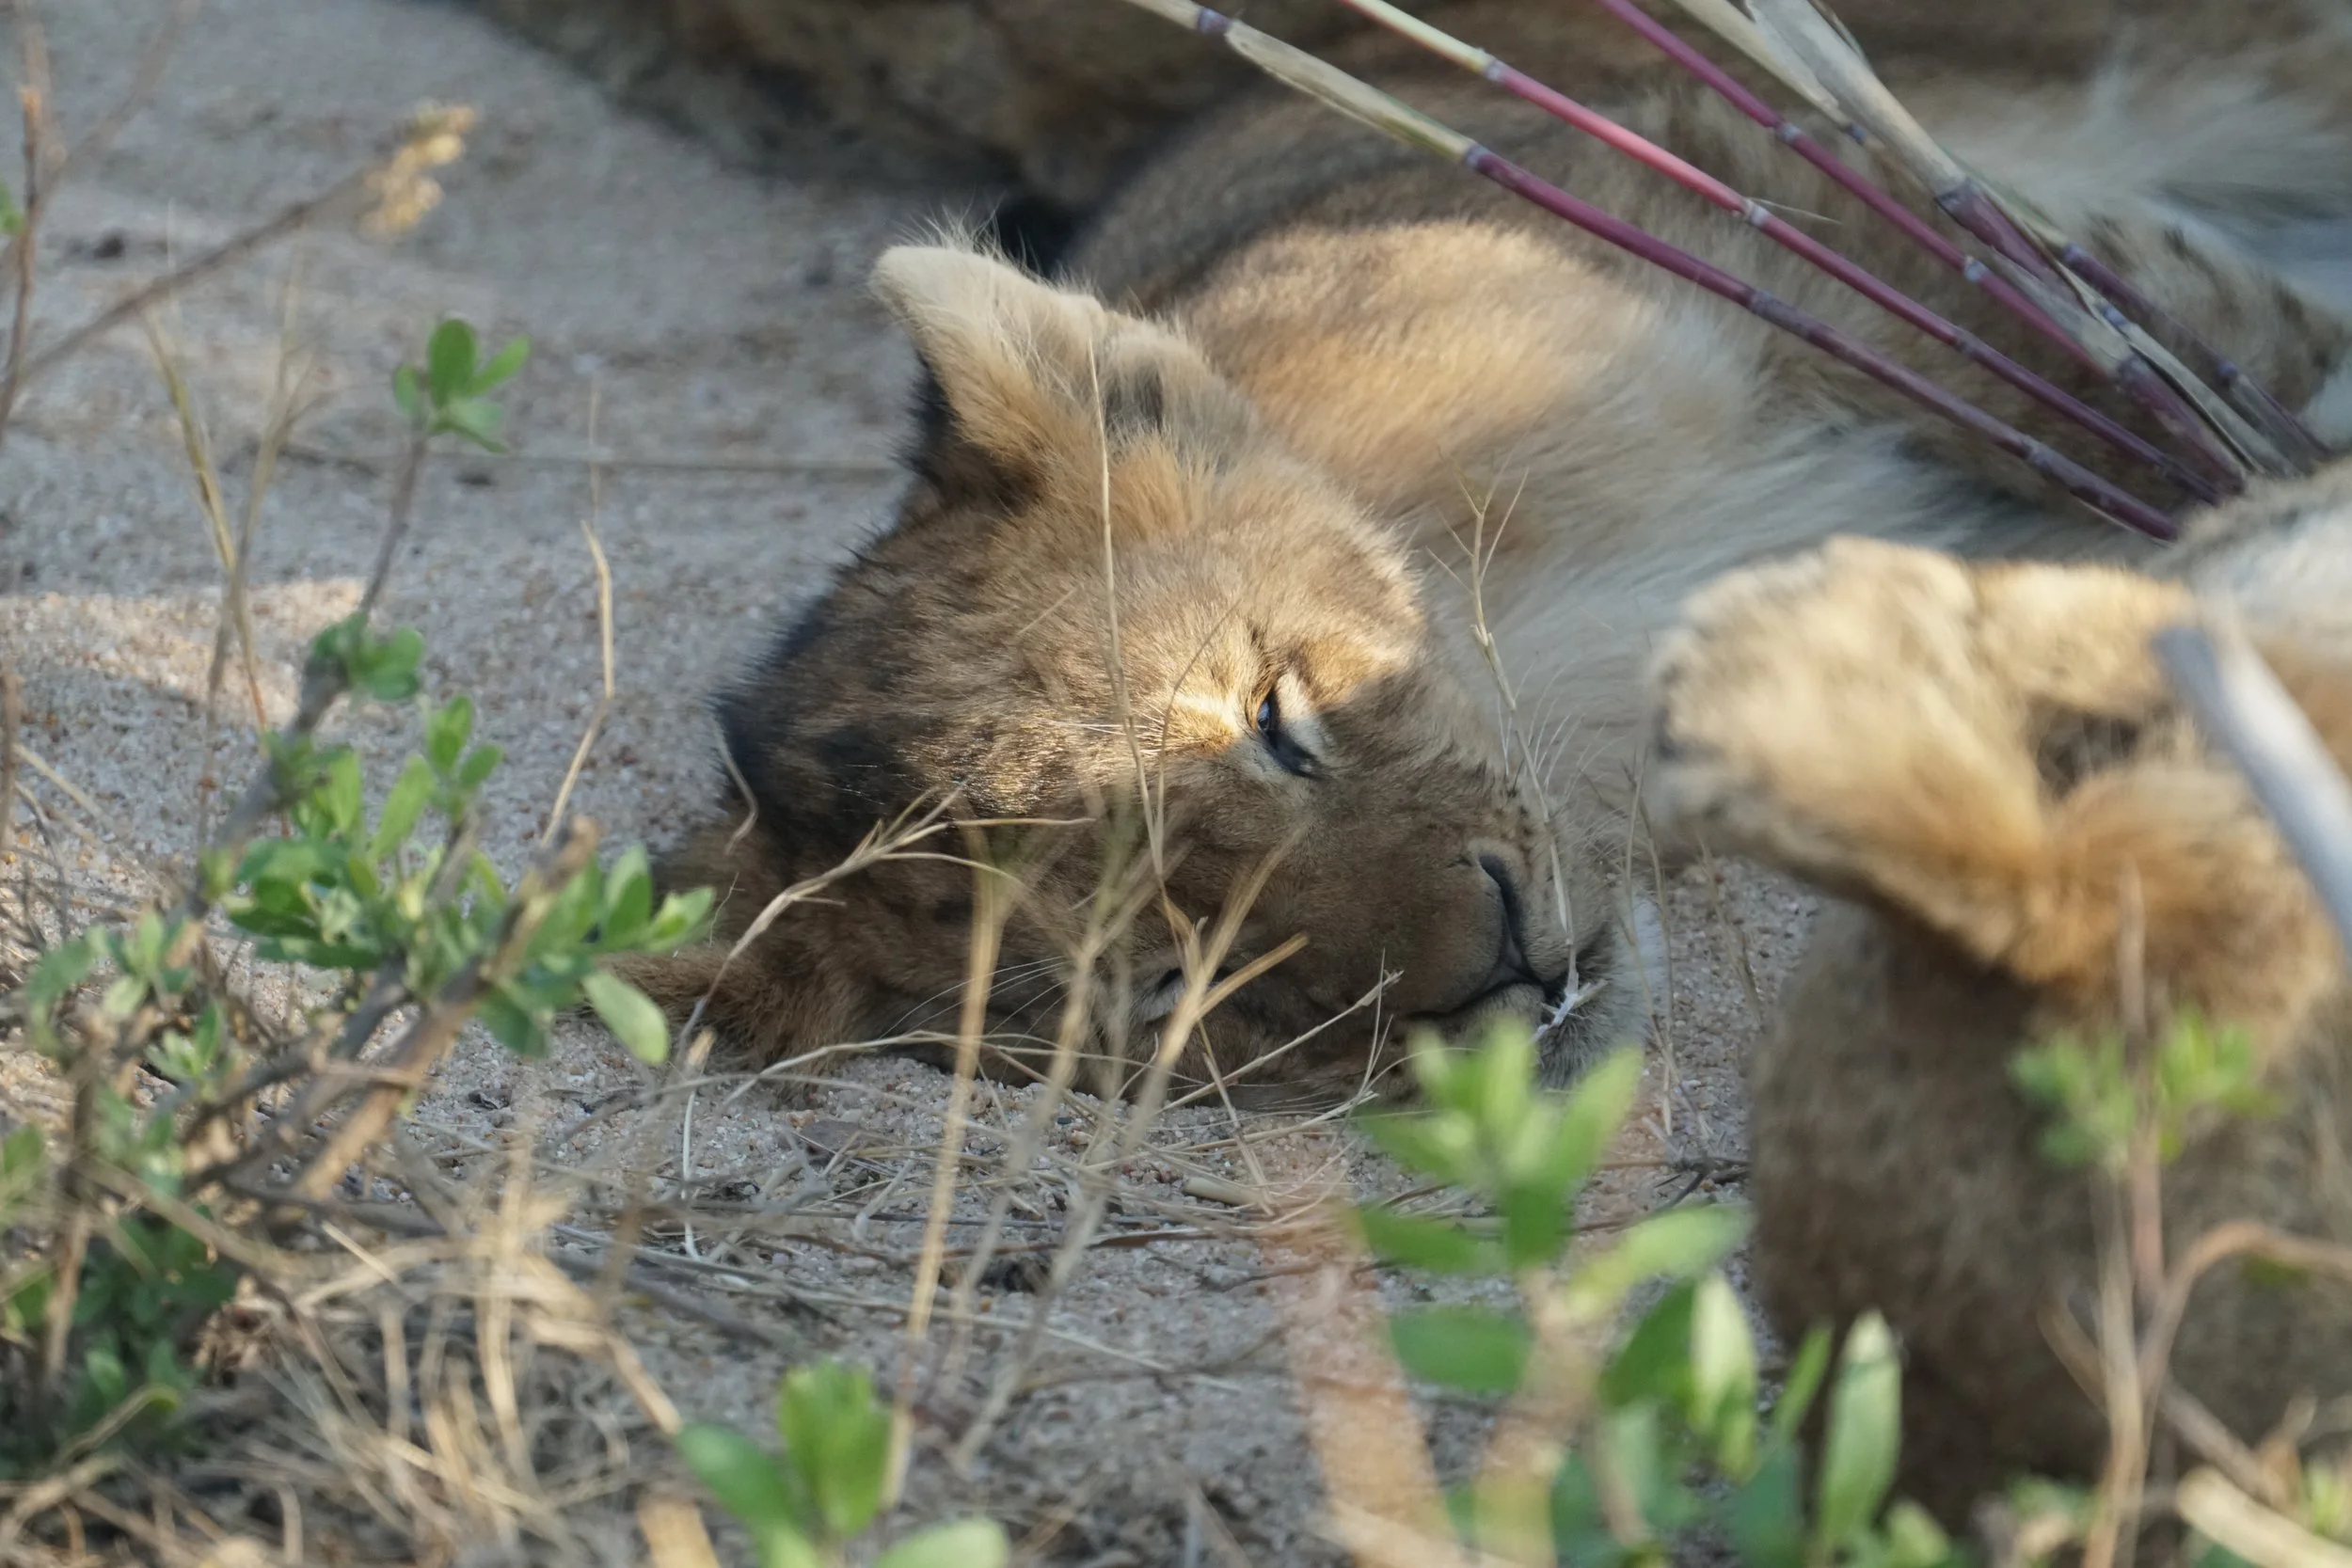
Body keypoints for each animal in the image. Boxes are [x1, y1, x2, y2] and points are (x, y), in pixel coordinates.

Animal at [629, 0, 2352, 1103]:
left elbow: (2159, 336)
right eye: (1184, 986)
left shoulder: (1750, 196)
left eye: (1277, 717)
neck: (1583, 650)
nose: (1510, 966)